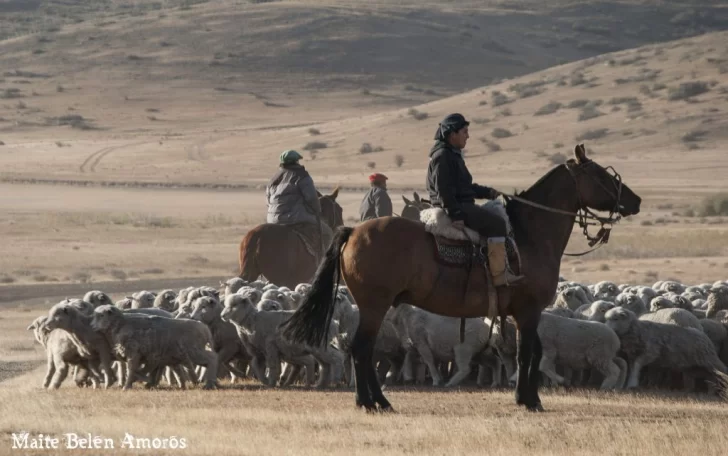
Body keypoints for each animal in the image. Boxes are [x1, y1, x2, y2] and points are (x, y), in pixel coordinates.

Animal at [284, 146, 644, 414]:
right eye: (600, 175)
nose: (636, 201)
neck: (530, 233)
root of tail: (353, 231)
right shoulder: (529, 310)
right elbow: (528, 353)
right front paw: (530, 401)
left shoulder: (523, 314)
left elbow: (531, 352)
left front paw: (526, 397)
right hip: (375, 305)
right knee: (362, 350)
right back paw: (372, 402)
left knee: (364, 350)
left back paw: (377, 401)